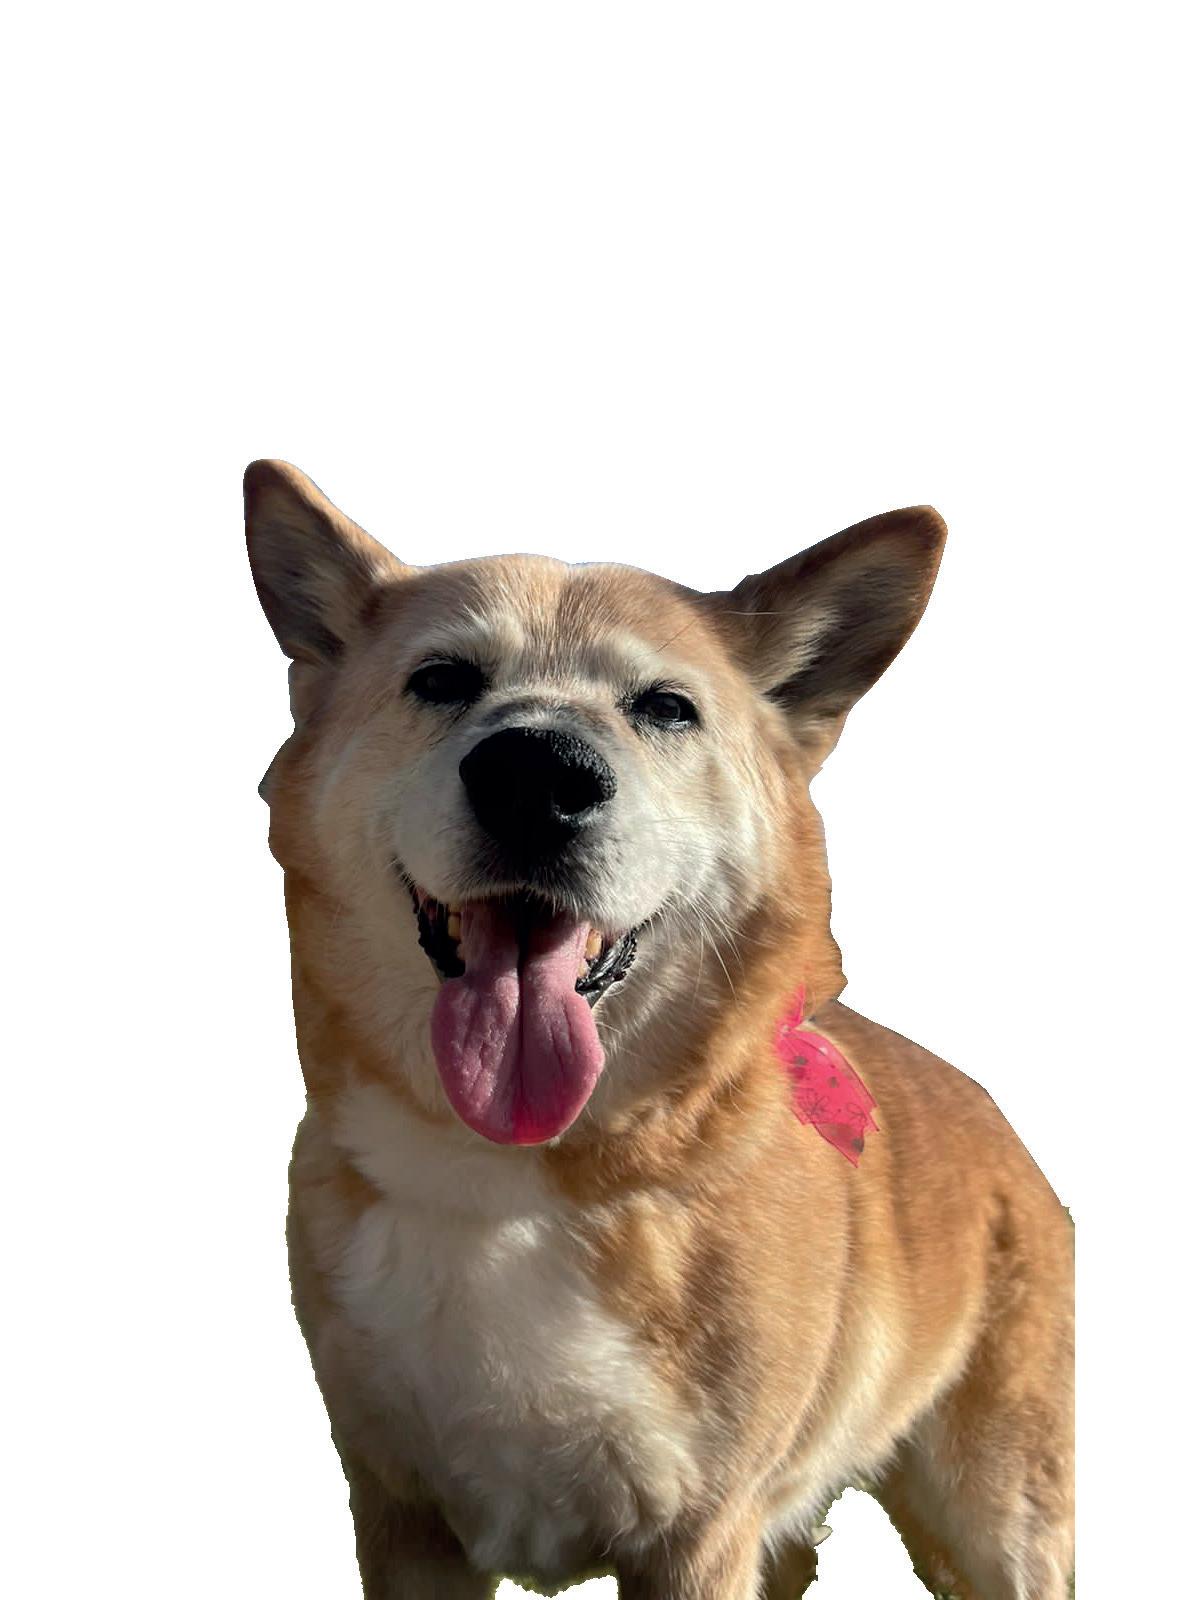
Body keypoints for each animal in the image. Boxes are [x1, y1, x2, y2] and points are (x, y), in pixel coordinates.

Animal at [245, 460, 1074, 1599]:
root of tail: (992, 1113)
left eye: (666, 707)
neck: (521, 1179)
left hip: (997, 1520)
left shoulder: (698, 1534)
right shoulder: (404, 1517)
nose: (537, 774)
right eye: (443, 678)